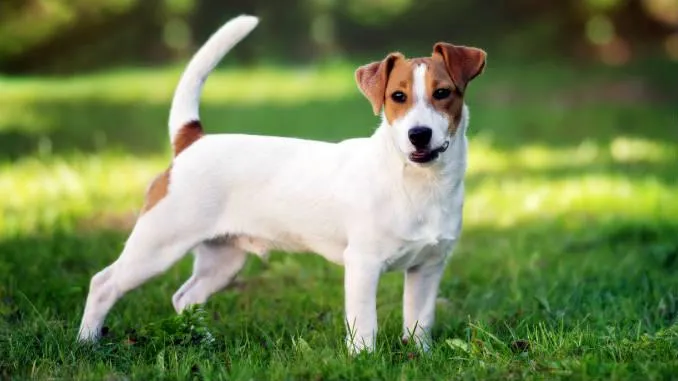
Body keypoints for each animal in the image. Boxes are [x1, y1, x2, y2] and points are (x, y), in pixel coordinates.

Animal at [77, 14, 486, 354]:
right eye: (397, 97)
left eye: (442, 93)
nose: (419, 134)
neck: (416, 184)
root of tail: (192, 141)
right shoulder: (363, 265)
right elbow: (364, 325)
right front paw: (363, 360)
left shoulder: (427, 269)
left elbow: (420, 322)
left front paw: (420, 356)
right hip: (157, 245)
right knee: (104, 283)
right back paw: (86, 343)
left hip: (223, 260)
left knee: (186, 298)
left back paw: (203, 342)